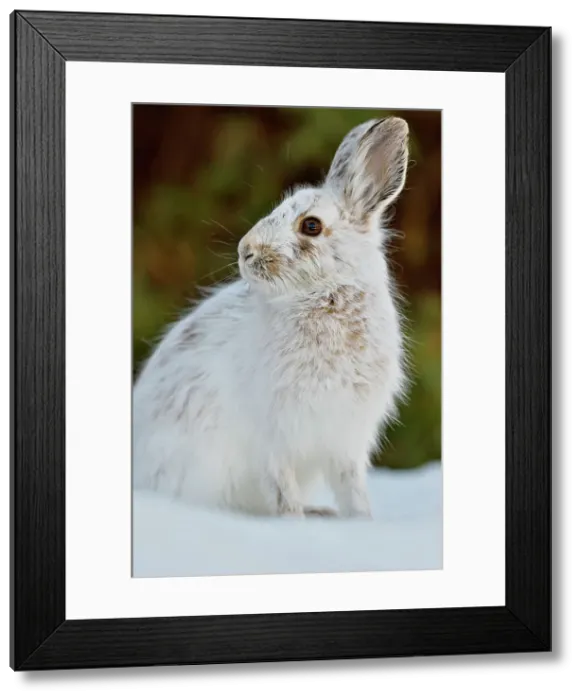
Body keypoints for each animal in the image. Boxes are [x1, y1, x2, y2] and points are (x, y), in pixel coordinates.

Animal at [132, 116, 411, 519]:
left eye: (311, 226)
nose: (245, 251)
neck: (324, 296)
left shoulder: (344, 441)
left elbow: (351, 486)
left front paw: (362, 520)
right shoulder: (273, 438)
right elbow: (281, 488)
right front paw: (294, 521)